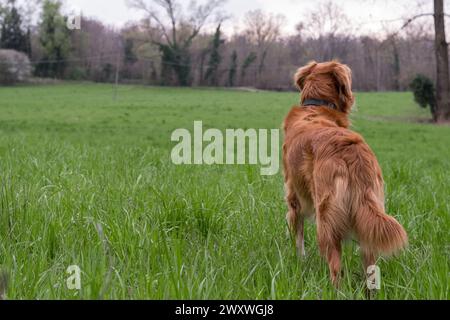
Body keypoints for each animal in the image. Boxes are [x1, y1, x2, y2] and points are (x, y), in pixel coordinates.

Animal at [284, 61, 408, 286]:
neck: (317, 106)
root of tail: (351, 153)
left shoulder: (293, 195)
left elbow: (298, 238)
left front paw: (299, 260)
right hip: (369, 215)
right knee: (370, 267)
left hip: (326, 220)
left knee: (335, 267)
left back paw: (332, 288)